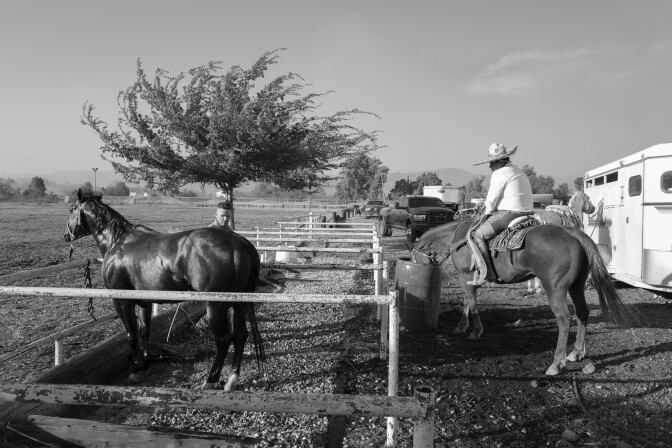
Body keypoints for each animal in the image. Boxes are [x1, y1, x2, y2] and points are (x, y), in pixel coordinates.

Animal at [63, 187, 262, 390]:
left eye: (71, 208)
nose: (66, 235)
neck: (118, 242)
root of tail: (238, 241)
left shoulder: (122, 301)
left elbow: (131, 335)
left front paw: (136, 370)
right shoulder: (144, 302)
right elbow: (144, 332)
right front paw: (145, 364)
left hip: (216, 306)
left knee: (223, 340)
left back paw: (210, 380)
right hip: (237, 304)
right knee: (240, 336)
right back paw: (232, 379)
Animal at [412, 219, 628, 376]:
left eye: (414, 258)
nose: (419, 270)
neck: (457, 239)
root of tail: (571, 233)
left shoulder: (465, 275)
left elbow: (472, 303)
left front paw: (475, 331)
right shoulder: (469, 279)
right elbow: (467, 301)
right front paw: (461, 327)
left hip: (555, 289)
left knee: (565, 319)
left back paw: (556, 364)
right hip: (577, 286)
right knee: (582, 312)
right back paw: (576, 353)